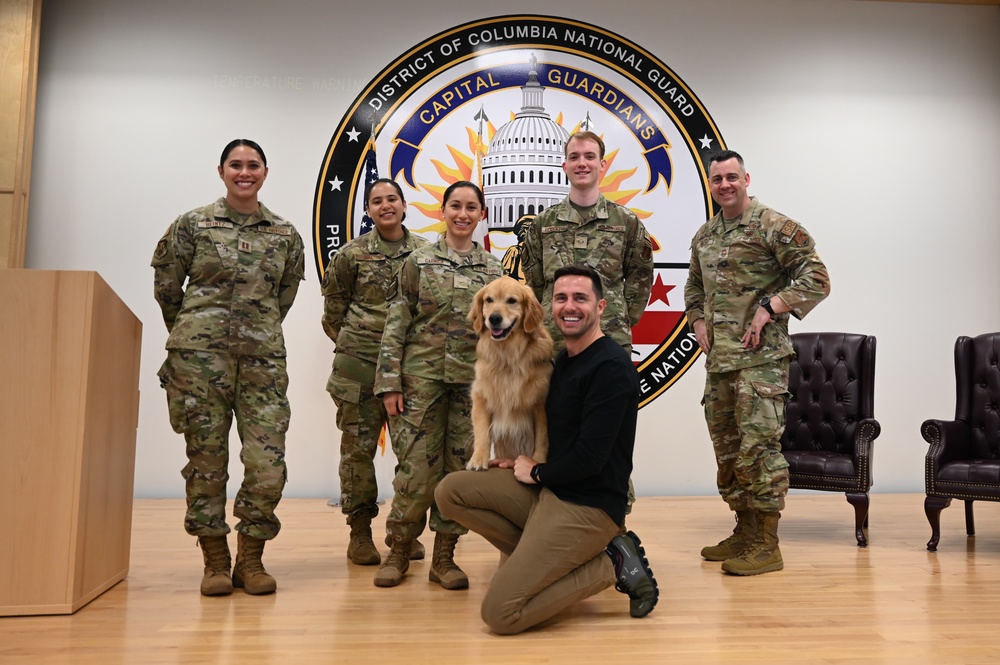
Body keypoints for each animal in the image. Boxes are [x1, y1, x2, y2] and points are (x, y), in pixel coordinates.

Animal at [466, 272, 556, 470]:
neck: (508, 355)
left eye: (512, 301)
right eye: (489, 300)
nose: (494, 318)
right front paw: (478, 458)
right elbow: (481, 432)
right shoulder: (482, 395)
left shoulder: (540, 403)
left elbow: (542, 438)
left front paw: (537, 462)